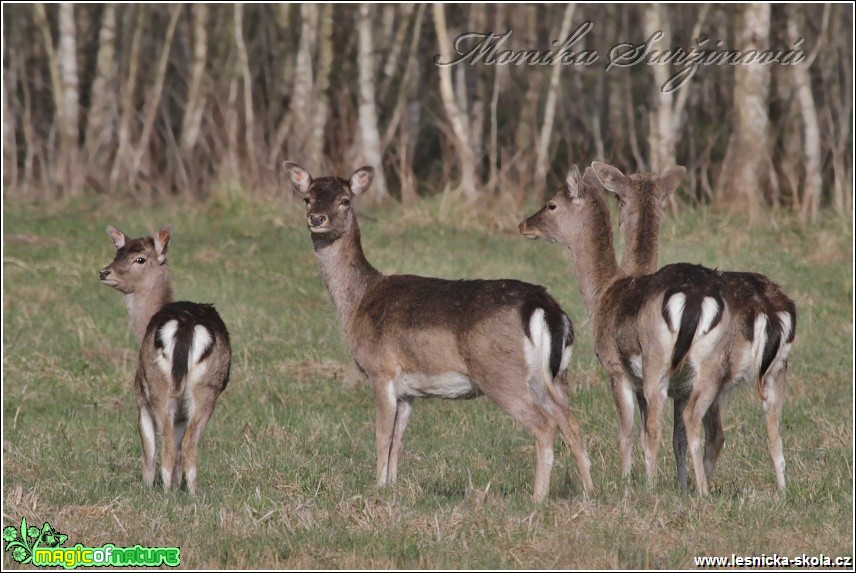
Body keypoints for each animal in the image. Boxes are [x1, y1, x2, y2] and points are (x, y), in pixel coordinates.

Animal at [99, 226, 231, 494]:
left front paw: (147, 487)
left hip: (159, 386)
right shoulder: (181, 413)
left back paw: (166, 494)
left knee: (167, 444)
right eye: (118, 253)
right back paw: (191, 494)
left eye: (140, 259)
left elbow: (149, 448)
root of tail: (186, 326)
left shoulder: (141, 397)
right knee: (188, 444)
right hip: (207, 389)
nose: (104, 272)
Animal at [284, 161, 592, 500]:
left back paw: (537, 497)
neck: (357, 304)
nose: (317, 219)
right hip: (557, 376)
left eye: (345, 201)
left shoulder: (381, 370)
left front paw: (376, 488)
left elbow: (382, 435)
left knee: (545, 425)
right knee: (572, 423)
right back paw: (589, 492)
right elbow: (398, 439)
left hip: (500, 373)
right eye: (307, 198)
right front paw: (392, 487)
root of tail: (546, 308)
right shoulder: (408, 390)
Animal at [520, 165, 732, 492]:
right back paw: (702, 490)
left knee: (655, 427)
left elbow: (627, 432)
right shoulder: (678, 387)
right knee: (701, 426)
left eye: (552, 204)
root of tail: (695, 298)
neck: (602, 293)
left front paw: (626, 482)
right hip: (711, 362)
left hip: (657, 360)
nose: (523, 224)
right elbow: (677, 439)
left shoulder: (615, 368)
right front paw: (680, 486)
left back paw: (652, 488)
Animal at [596, 161, 796, 488]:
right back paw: (780, 490)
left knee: (699, 427)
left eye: (617, 197)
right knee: (773, 430)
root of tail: (768, 312)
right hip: (777, 369)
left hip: (710, 370)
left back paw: (697, 488)